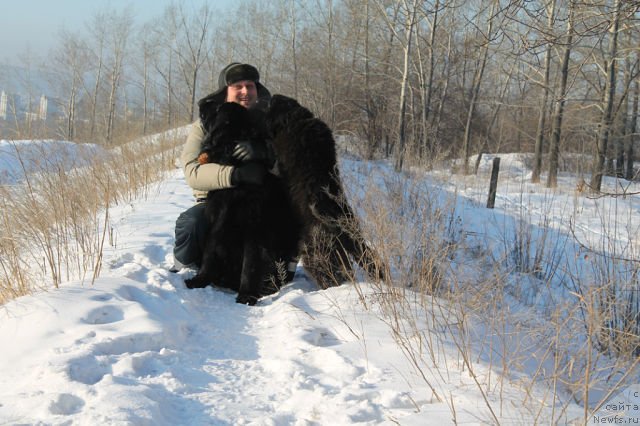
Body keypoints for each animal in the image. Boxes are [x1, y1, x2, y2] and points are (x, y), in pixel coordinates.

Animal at [186, 101, 302, 304]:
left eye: (218, 109)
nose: (201, 103)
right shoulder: (217, 219)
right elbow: (209, 251)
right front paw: (200, 279)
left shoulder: (254, 226)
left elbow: (250, 263)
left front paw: (247, 294)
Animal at [264, 95, 384, 288]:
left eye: (275, 105)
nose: (274, 96)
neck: (296, 119)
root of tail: (343, 228)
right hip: (347, 247)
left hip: (319, 252)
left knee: (330, 273)